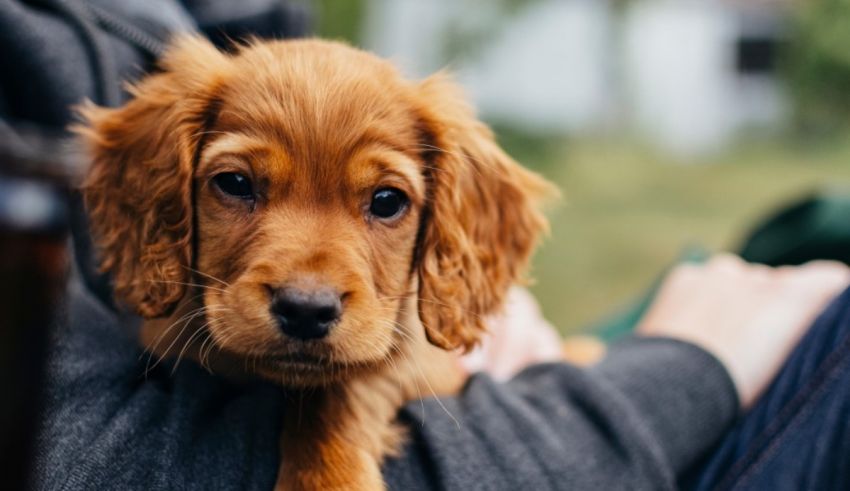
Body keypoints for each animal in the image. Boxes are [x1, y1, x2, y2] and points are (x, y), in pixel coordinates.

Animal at [79, 36, 552, 490]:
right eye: (235, 183)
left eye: (387, 200)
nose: (306, 311)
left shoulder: (408, 357)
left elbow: (345, 387)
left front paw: (331, 479)